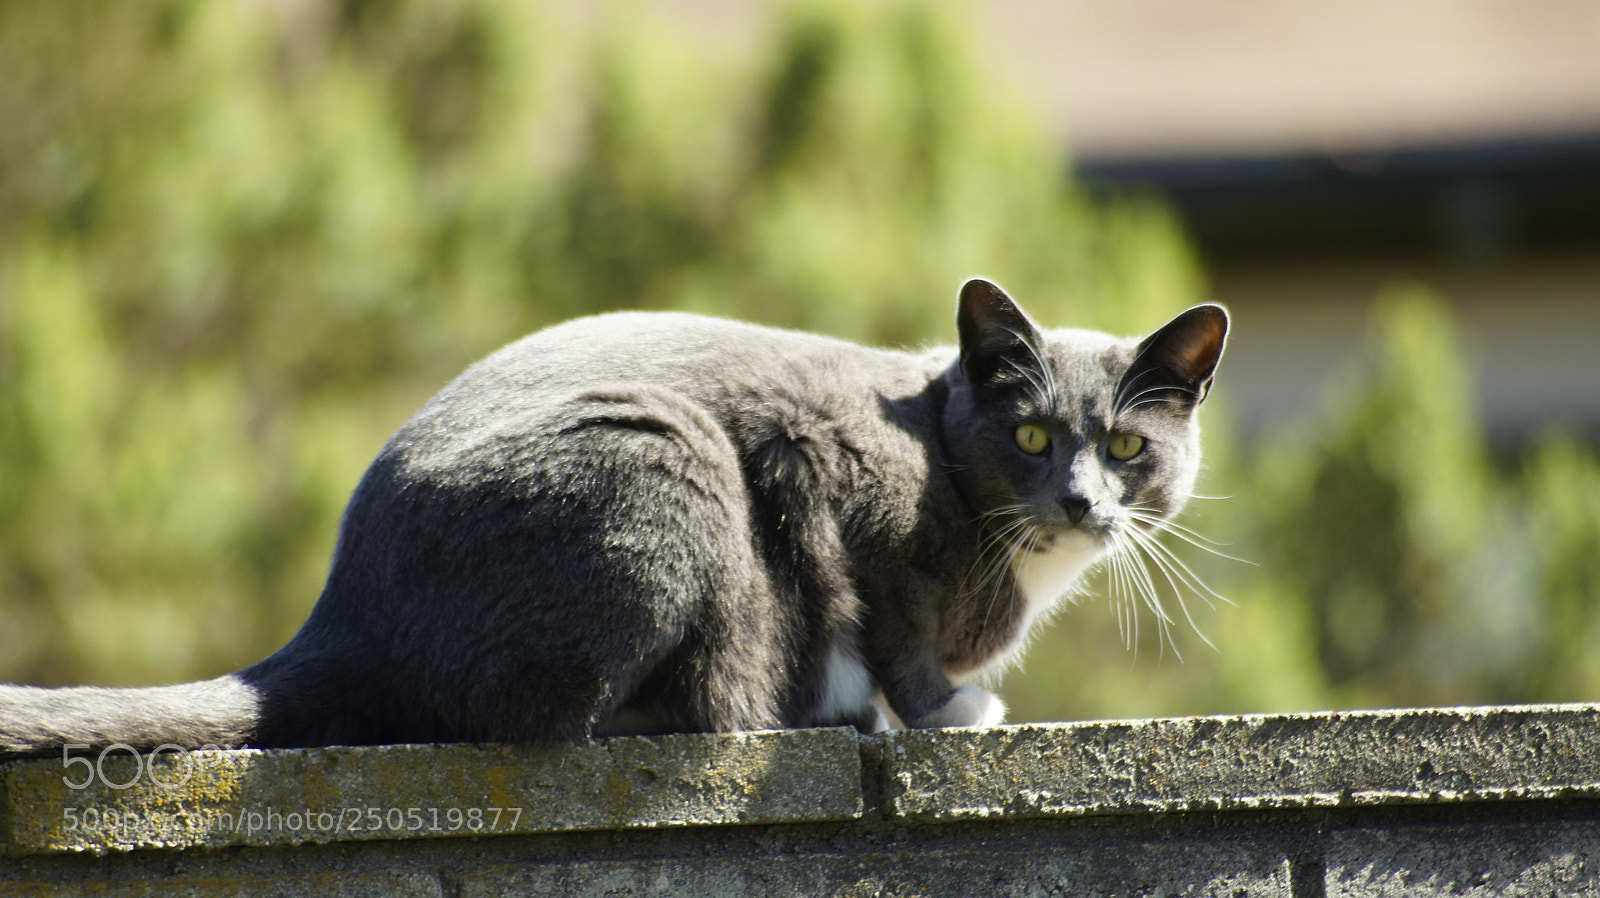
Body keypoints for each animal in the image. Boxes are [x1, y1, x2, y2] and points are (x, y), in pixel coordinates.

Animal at [0, 276, 1228, 752]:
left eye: (1128, 448)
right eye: (1030, 438)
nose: (1079, 499)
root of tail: (340, 613)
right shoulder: (831, 473)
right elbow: (897, 625)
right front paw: (946, 709)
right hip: (666, 466)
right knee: (528, 716)